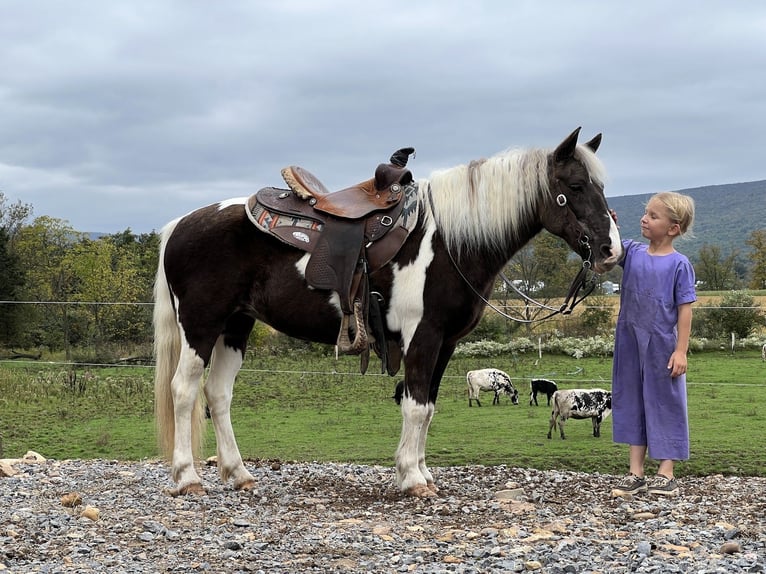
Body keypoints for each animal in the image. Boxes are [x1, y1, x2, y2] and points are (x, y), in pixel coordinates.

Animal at [154, 128, 624, 498]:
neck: (450, 241)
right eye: (575, 185)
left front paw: (422, 473)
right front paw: (412, 479)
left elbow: (429, 406)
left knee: (218, 393)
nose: (610, 251)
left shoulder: (446, 343)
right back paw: (188, 477)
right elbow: (414, 406)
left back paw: (239, 474)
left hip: (236, 326)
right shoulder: (423, 335)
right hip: (201, 324)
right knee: (184, 390)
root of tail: (179, 225)